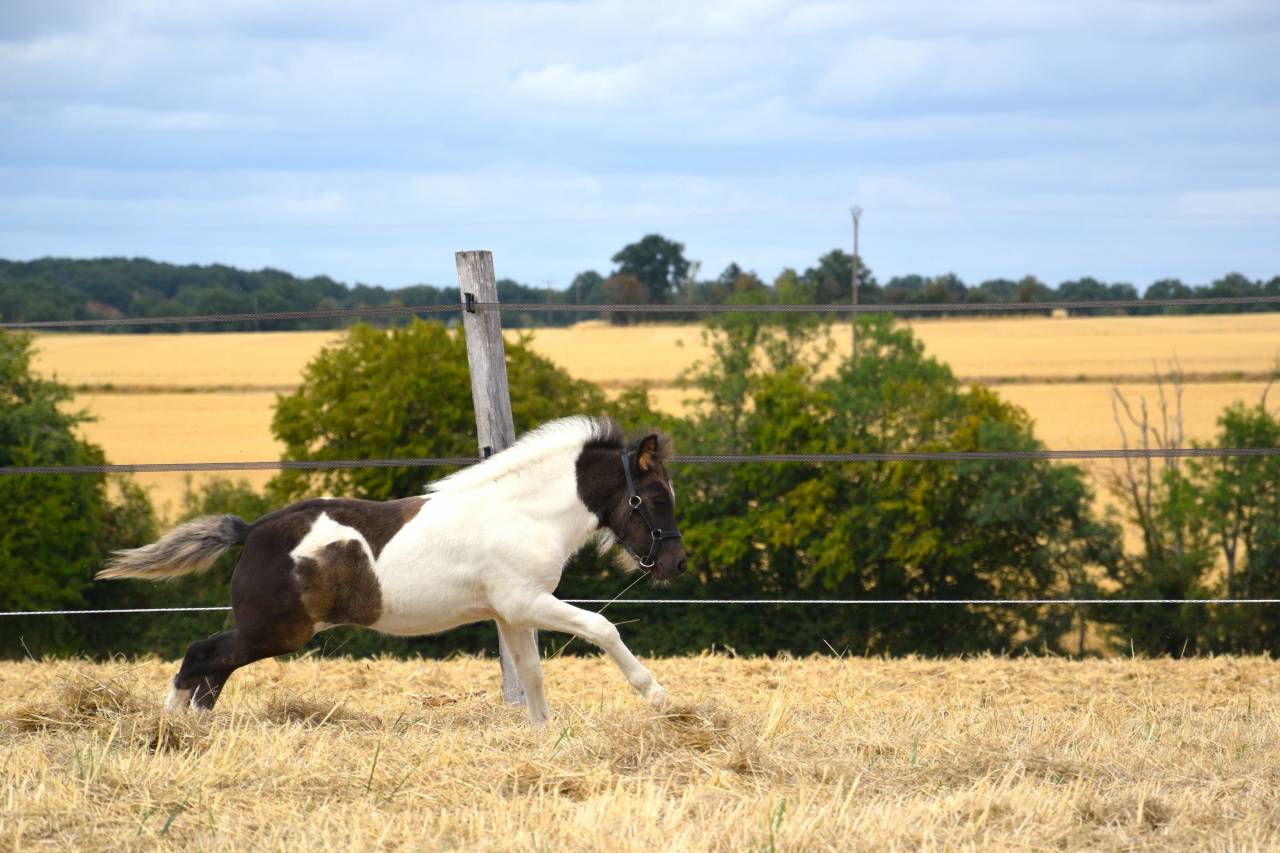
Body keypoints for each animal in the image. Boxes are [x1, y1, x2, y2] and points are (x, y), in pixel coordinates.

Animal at [97, 416, 687, 728]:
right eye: (657, 498)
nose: (677, 565)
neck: (523, 514)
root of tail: (253, 530)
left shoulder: (510, 613)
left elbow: (531, 673)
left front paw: (542, 733)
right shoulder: (526, 602)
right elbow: (601, 628)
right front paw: (657, 696)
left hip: (265, 632)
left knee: (212, 671)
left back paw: (187, 729)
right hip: (276, 630)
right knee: (200, 657)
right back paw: (169, 727)